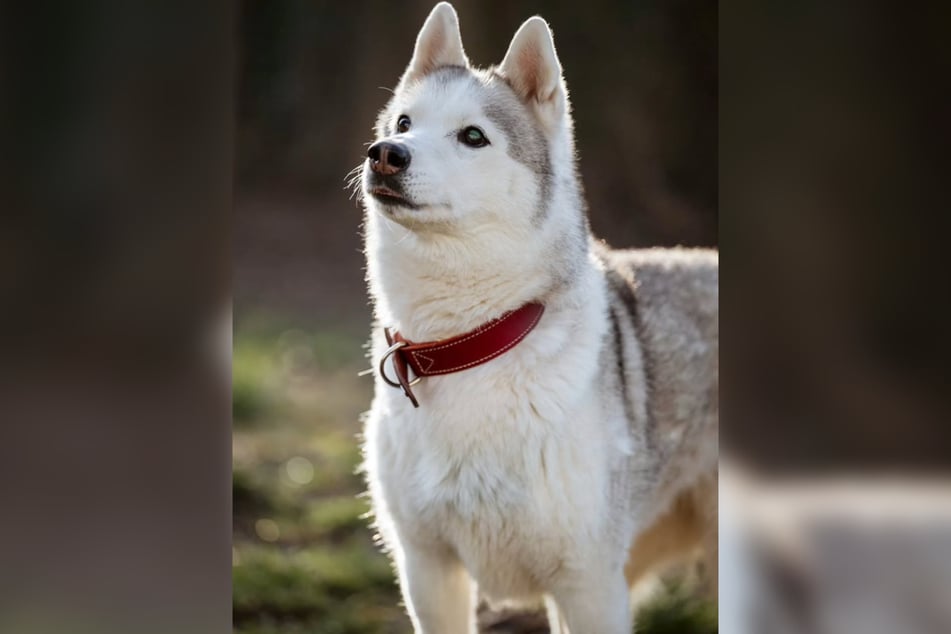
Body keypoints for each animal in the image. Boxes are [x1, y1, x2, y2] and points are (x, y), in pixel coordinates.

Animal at [360, 2, 716, 628]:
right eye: (403, 124)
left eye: (473, 136)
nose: (385, 154)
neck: (471, 343)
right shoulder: (428, 570)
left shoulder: (588, 582)